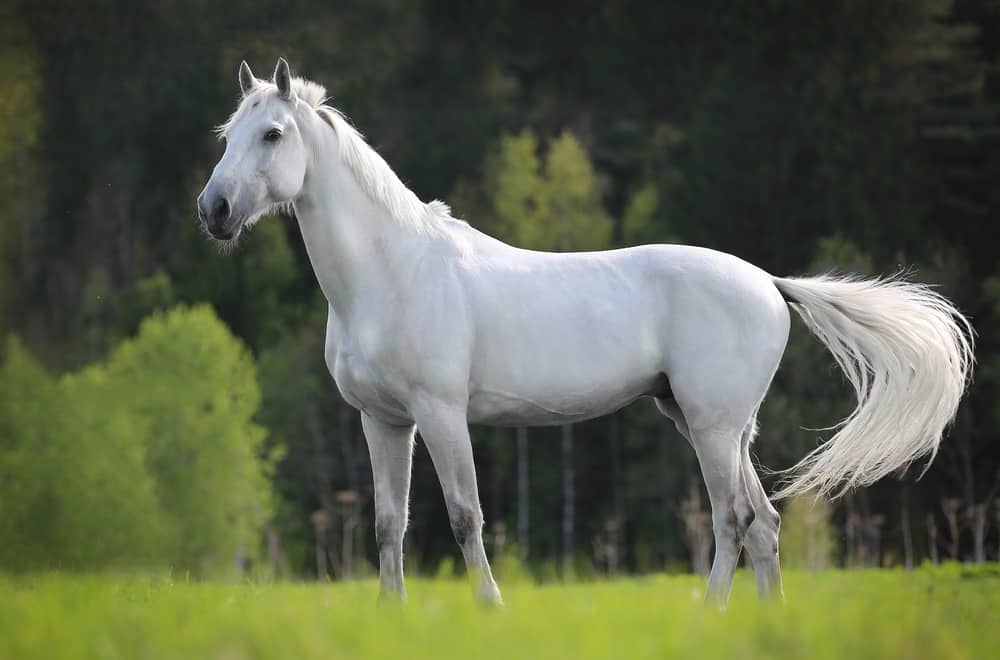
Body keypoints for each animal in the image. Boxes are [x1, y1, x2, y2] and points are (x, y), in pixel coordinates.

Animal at [198, 58, 973, 606]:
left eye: (273, 134)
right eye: (228, 136)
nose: (215, 210)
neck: (391, 270)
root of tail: (769, 283)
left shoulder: (441, 414)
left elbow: (465, 516)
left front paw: (491, 608)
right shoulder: (384, 421)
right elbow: (392, 524)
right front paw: (392, 615)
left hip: (714, 426)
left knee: (731, 519)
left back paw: (710, 613)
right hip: (706, 422)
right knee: (764, 524)